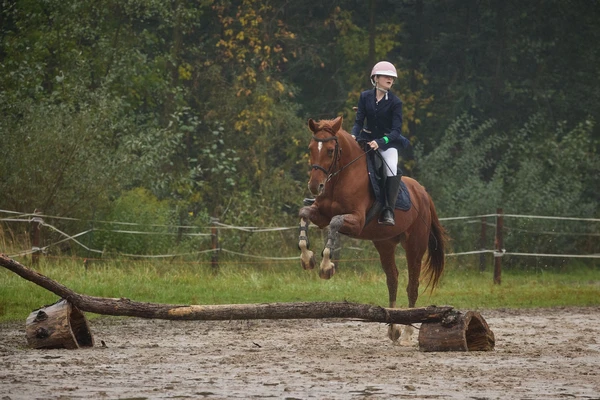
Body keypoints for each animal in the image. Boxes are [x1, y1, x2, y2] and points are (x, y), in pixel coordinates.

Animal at [298, 115, 448, 344]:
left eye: (330, 150)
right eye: (311, 148)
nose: (316, 187)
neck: (341, 177)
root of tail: (422, 192)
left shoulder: (357, 221)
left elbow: (335, 222)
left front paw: (326, 266)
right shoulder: (320, 215)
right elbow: (304, 213)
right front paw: (307, 258)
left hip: (415, 246)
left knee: (412, 285)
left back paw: (407, 333)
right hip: (384, 243)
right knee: (392, 279)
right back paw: (393, 328)